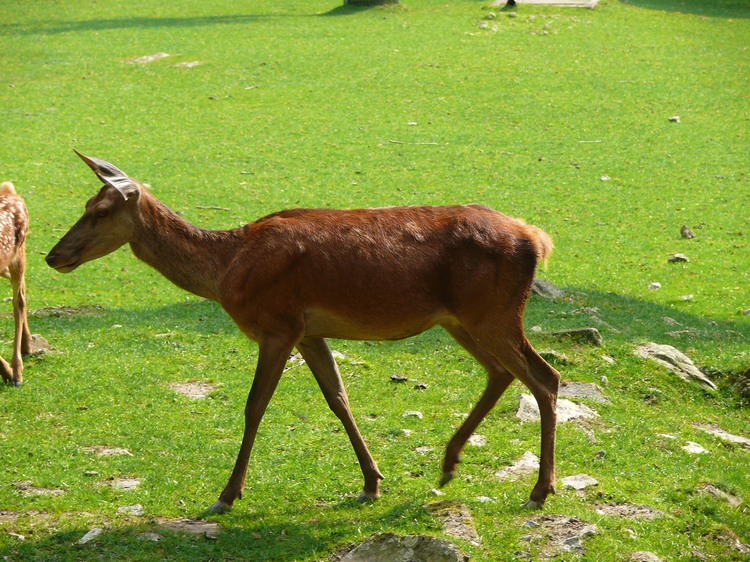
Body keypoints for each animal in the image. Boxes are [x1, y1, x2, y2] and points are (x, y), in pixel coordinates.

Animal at [45, 152, 564, 512]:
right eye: (86, 203)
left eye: (100, 211)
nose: (54, 255)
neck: (226, 270)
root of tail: (537, 239)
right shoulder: (310, 333)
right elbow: (338, 399)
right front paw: (371, 482)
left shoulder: (278, 325)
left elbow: (254, 406)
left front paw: (226, 494)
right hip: (461, 321)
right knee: (503, 373)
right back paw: (450, 462)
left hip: (493, 314)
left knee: (545, 377)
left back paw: (539, 491)